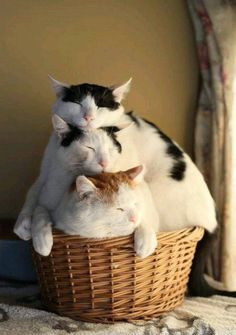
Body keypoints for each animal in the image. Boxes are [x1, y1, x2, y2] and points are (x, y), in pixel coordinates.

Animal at [14, 78, 234, 296]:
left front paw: (144, 239)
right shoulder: (46, 174)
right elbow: (35, 201)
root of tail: (213, 220)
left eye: (100, 105)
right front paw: (30, 228)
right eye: (77, 103)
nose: (88, 117)